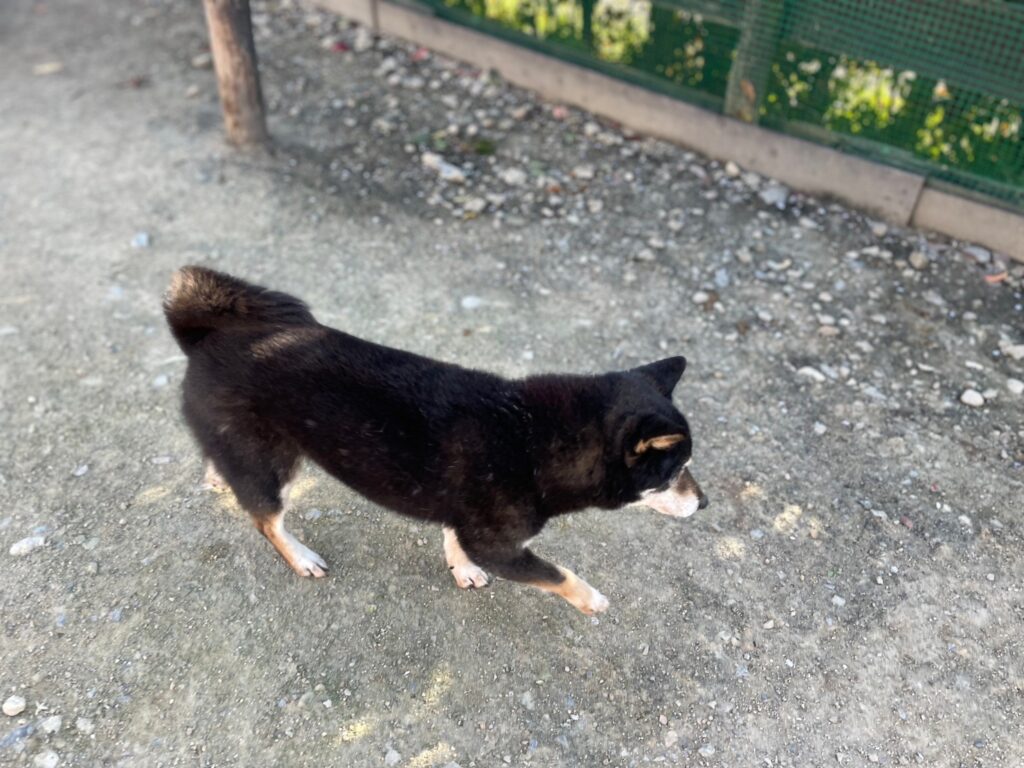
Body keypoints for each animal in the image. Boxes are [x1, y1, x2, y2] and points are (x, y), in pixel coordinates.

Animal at [164, 266, 707, 614]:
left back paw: (217, 475)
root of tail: (204, 335)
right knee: (267, 520)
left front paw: (459, 566)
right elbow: (558, 574)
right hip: (273, 463)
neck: (534, 439)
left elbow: (453, 534)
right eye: (675, 472)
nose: (705, 503)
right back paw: (300, 557)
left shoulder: (465, 512)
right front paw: (592, 600)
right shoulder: (500, 545)